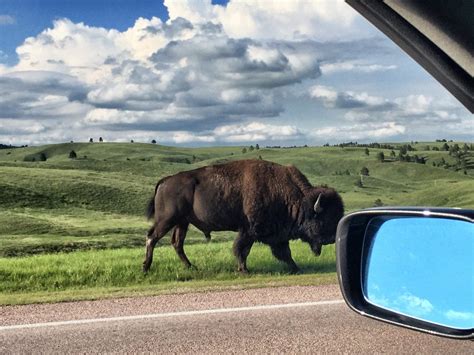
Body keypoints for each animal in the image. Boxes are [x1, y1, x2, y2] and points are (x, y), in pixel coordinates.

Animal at [143, 160, 342, 274]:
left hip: (182, 222)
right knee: (152, 237)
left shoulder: (277, 235)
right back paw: (146, 268)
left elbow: (284, 253)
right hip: (167, 220)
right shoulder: (249, 230)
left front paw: (296, 268)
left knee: (177, 243)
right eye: (324, 218)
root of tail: (165, 180)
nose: (333, 238)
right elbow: (242, 250)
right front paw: (243, 270)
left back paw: (191, 267)